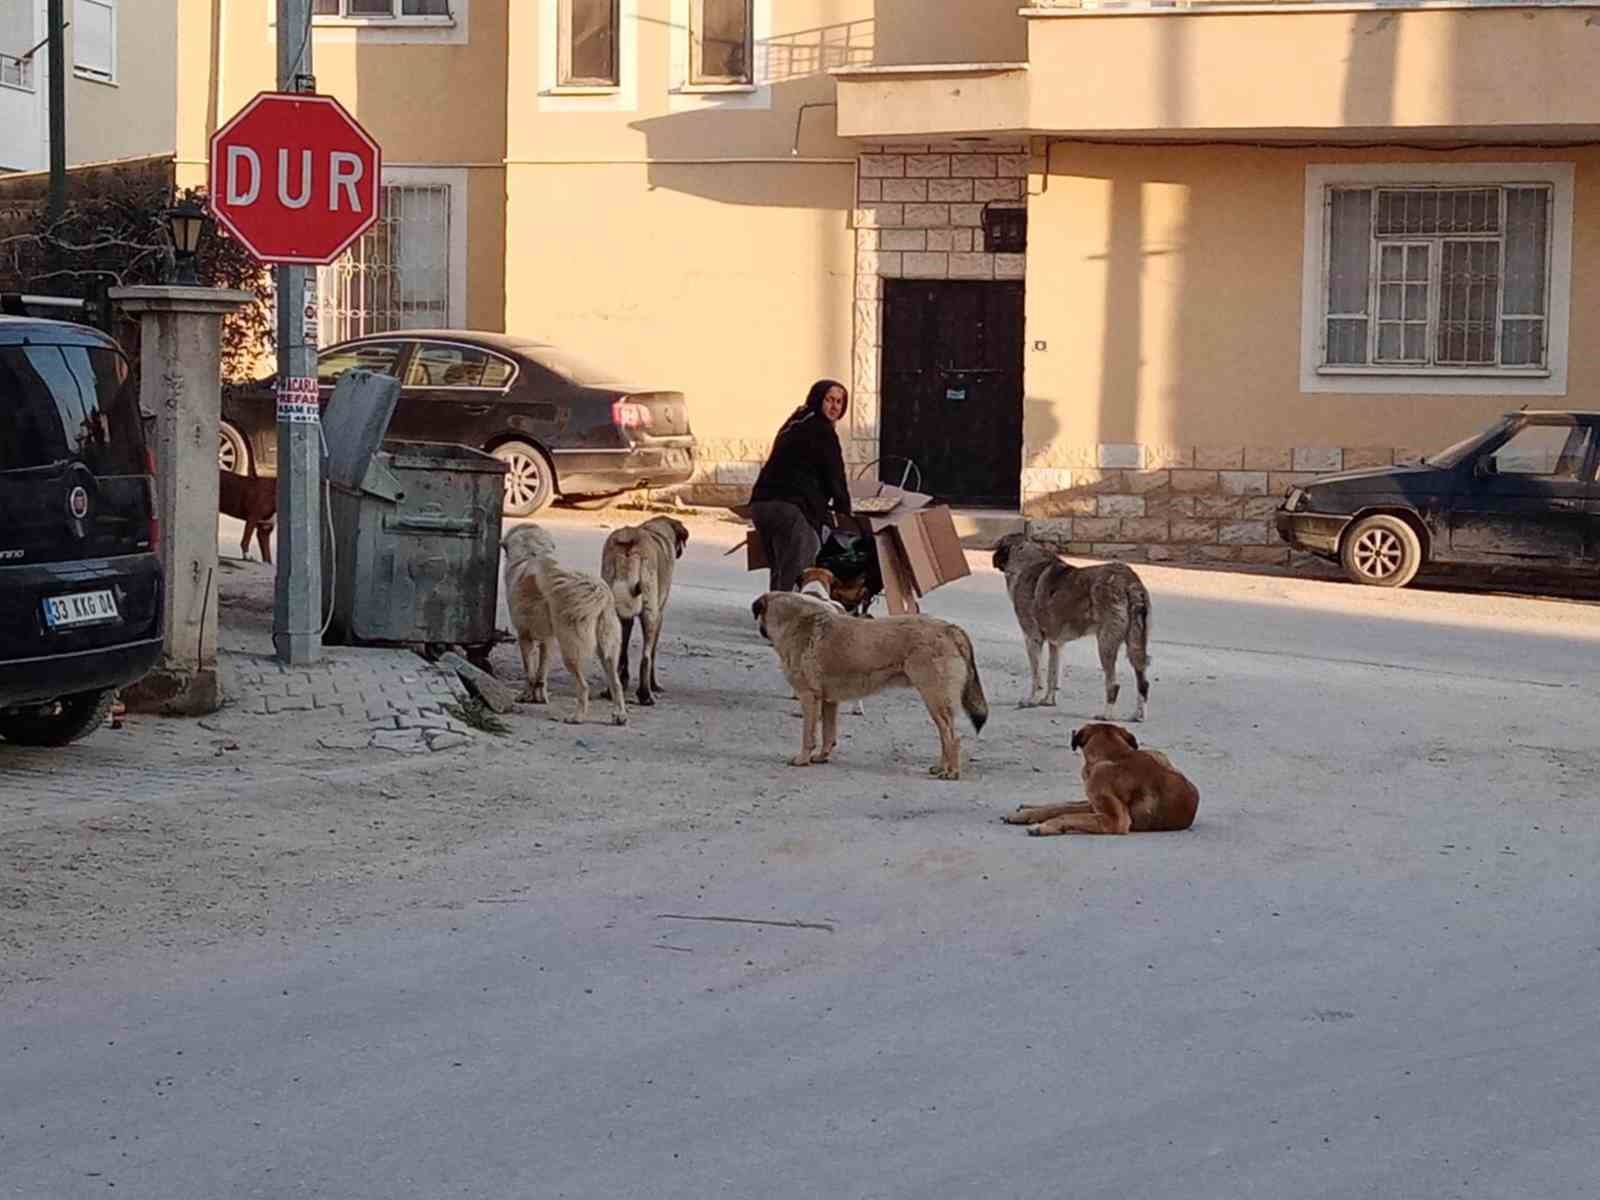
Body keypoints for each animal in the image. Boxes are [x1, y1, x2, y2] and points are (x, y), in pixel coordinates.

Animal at [595, 515, 681, 704]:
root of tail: (630, 540)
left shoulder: (626, 618)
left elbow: (624, 650)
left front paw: (624, 679)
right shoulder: (659, 614)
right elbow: (653, 652)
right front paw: (654, 684)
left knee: (614, 656)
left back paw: (611, 689)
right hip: (650, 612)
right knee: (646, 657)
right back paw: (646, 694)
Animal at [748, 592, 985, 780]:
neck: (794, 622)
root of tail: (951, 629)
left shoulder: (809, 698)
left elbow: (809, 735)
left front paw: (802, 759)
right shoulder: (829, 701)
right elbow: (828, 734)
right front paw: (822, 757)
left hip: (934, 698)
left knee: (952, 737)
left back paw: (951, 772)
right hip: (936, 701)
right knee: (946, 736)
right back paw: (941, 767)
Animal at [1004, 723, 1196, 838]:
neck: (1116, 755)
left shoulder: (1115, 820)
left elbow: (1068, 814)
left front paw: (1042, 827)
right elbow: (1063, 809)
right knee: (1065, 804)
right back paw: (1028, 809)